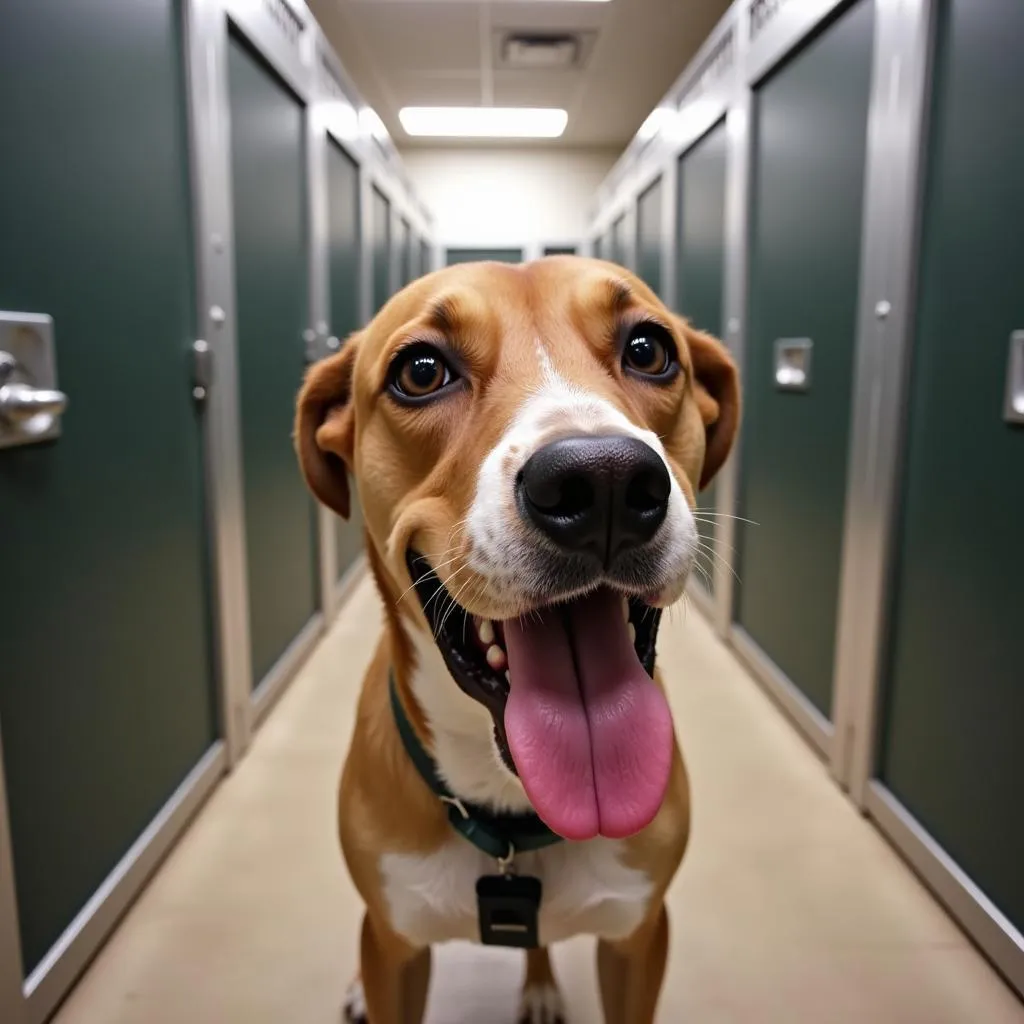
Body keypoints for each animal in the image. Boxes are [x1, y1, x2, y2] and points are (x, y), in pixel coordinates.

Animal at [294, 251, 737, 1019]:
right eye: (420, 370)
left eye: (648, 350)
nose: (604, 481)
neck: (512, 812)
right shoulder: (395, 947)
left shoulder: (639, 938)